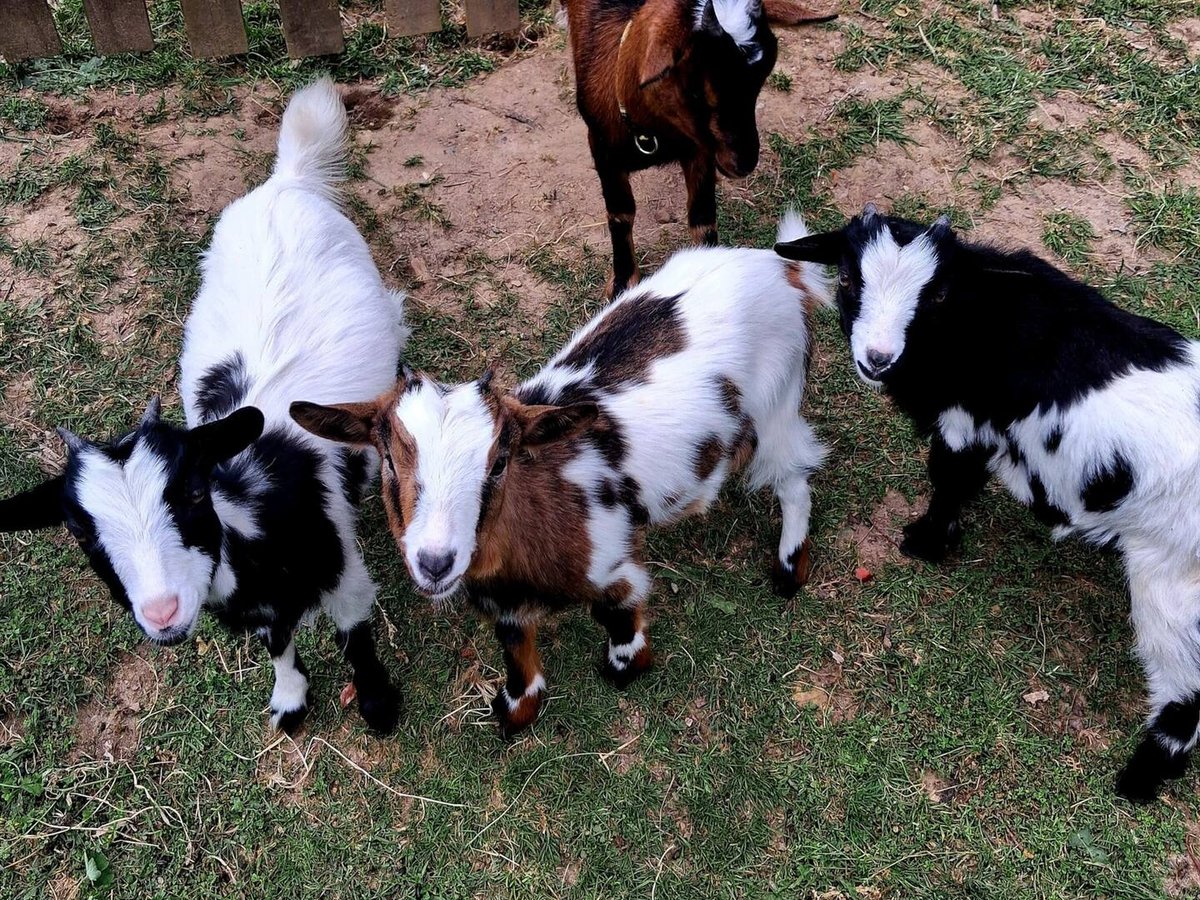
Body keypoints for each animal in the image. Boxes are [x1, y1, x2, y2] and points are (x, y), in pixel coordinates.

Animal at [0, 79, 409, 736]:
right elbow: (278, 643)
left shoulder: (341, 566)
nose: (163, 612)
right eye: (80, 530)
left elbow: (355, 632)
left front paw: (377, 703)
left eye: (191, 491)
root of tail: (284, 183)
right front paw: (290, 699)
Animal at [291, 212, 830, 737]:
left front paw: (622, 669)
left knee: (796, 474)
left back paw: (789, 567)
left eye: (500, 461)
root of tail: (781, 268)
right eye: (387, 458)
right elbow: (516, 653)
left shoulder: (615, 566)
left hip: (776, 402)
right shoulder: (506, 605)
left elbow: (621, 630)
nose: (435, 562)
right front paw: (516, 709)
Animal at [564, 0, 836, 298]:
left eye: (760, 82)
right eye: (695, 90)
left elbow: (703, 218)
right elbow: (621, 213)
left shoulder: (700, 152)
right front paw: (622, 282)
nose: (744, 163)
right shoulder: (603, 149)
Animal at [777, 203, 1200, 803]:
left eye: (935, 296)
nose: (877, 359)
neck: (972, 324)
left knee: (1183, 695)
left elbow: (950, 478)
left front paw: (926, 542)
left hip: (1171, 584)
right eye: (848, 278)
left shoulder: (963, 423)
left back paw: (1140, 779)